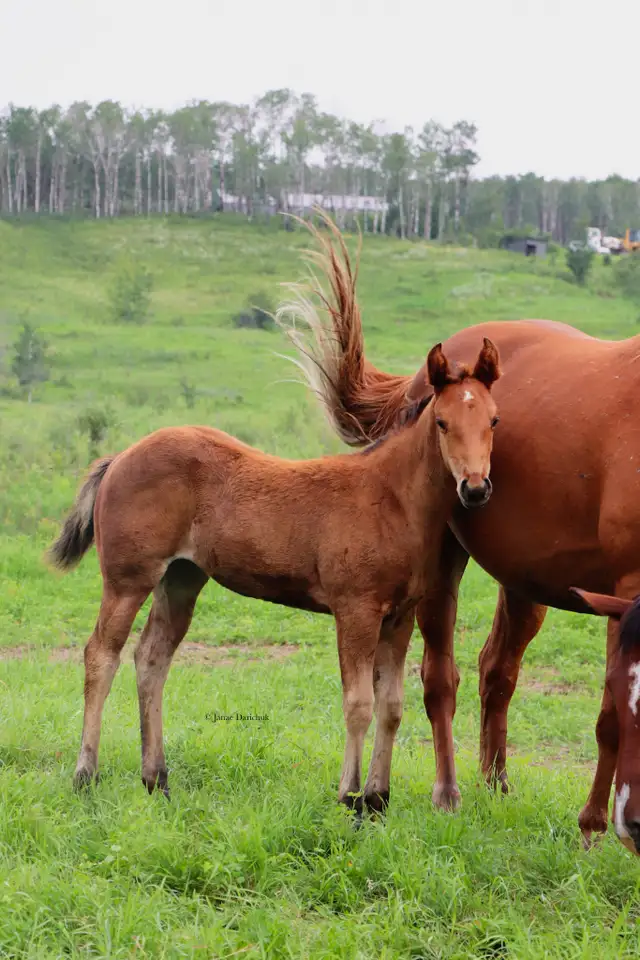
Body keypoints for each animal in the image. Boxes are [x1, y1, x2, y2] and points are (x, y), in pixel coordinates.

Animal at [48, 338, 501, 809]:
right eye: (443, 422)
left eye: (493, 419)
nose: (475, 488)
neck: (391, 499)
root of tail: (121, 456)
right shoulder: (355, 610)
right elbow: (358, 703)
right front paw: (349, 796)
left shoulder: (399, 616)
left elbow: (391, 705)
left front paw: (377, 799)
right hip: (127, 580)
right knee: (101, 656)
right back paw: (85, 775)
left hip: (181, 578)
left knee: (151, 658)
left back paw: (157, 778)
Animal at [278, 214, 640, 849]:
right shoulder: (626, 591)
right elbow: (613, 716)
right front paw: (594, 826)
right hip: (444, 572)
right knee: (439, 680)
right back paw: (447, 792)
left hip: (525, 581)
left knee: (497, 671)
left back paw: (495, 785)